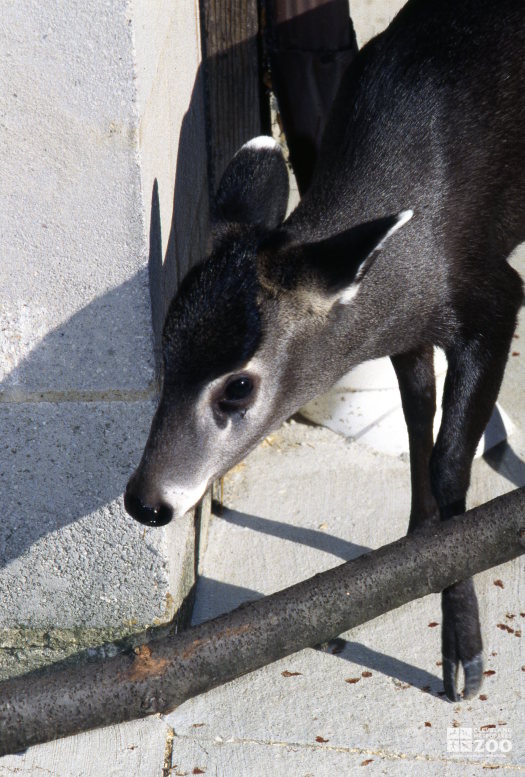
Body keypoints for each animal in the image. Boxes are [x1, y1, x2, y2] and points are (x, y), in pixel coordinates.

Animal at [125, 0, 524, 704]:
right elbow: (417, 416)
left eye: (238, 386)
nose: (147, 501)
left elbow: (450, 460)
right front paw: (398, 563)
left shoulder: (493, 297)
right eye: (164, 357)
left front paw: (463, 656)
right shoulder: (406, 333)